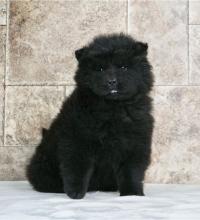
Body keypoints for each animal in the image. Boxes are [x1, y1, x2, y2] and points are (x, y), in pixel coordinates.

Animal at [26, 33, 154, 199]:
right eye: (99, 69)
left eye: (123, 67)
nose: (111, 81)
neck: (113, 108)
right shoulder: (78, 140)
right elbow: (77, 169)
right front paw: (75, 193)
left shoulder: (134, 143)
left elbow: (132, 172)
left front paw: (132, 194)